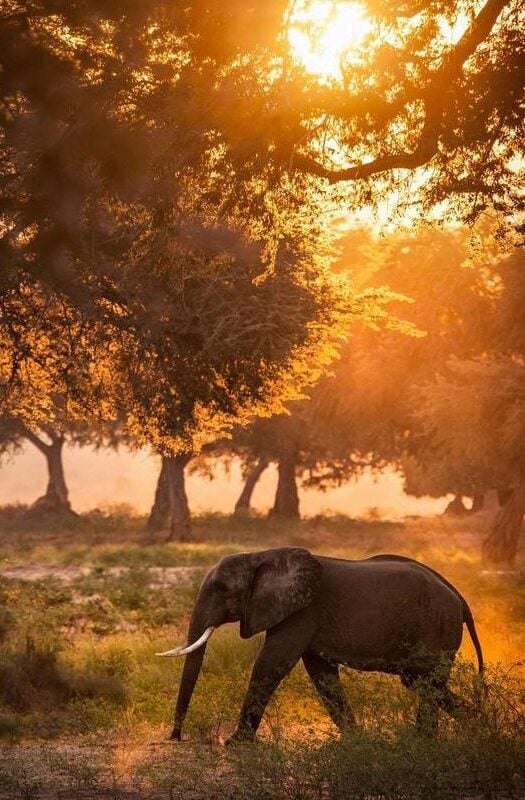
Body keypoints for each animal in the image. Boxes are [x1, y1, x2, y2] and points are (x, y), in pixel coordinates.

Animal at [157, 552, 484, 744]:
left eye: (222, 589)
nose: (176, 737)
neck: (262, 556)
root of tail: (459, 597)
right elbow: (321, 674)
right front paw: (356, 741)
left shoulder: (302, 611)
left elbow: (270, 664)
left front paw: (236, 744)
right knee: (420, 682)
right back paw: (472, 727)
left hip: (436, 626)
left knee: (426, 681)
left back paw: (429, 741)